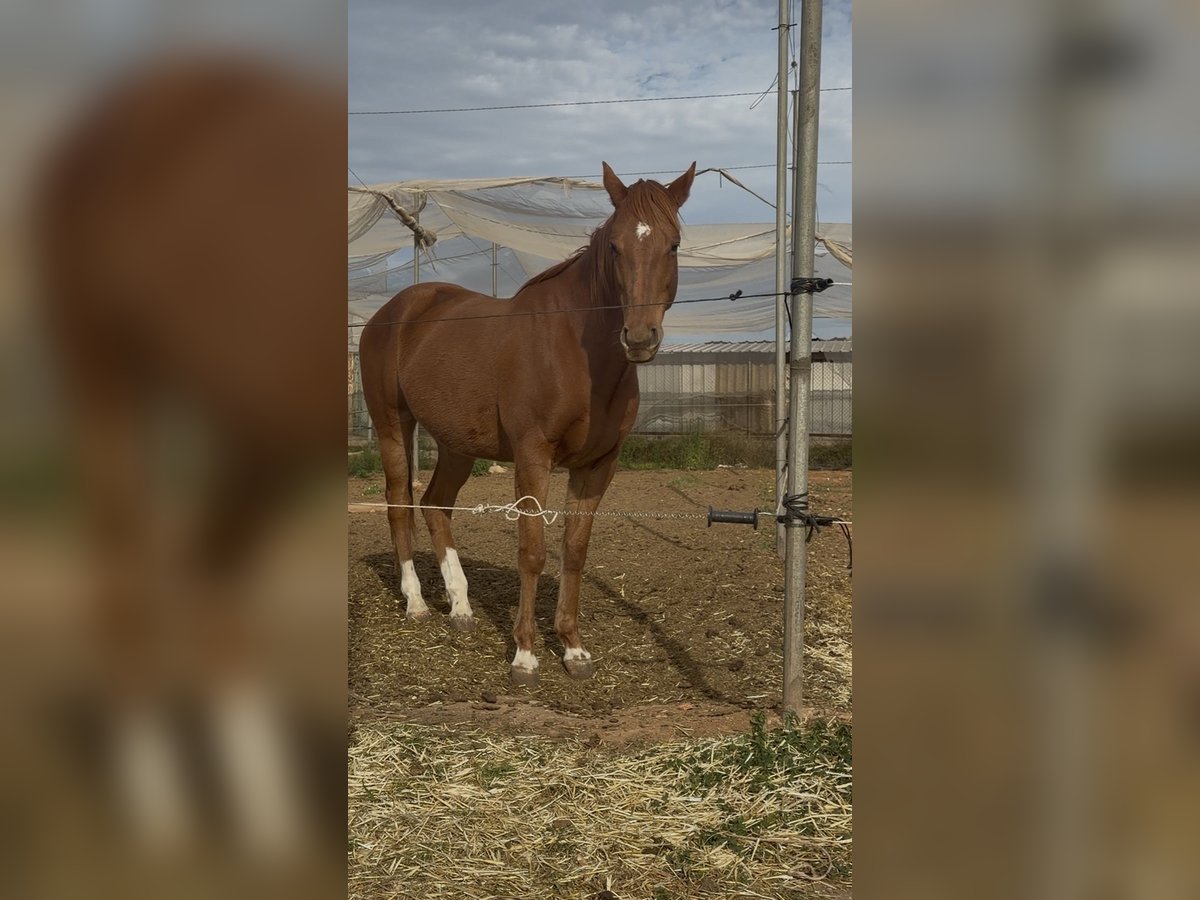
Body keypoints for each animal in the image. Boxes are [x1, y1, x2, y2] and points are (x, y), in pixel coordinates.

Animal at [360, 161, 696, 686]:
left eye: (673, 245)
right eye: (615, 247)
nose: (640, 337)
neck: (578, 354)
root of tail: (394, 311)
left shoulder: (599, 465)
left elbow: (574, 551)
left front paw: (574, 649)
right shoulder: (532, 457)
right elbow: (532, 552)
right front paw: (524, 655)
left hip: (457, 444)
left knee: (436, 504)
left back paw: (461, 607)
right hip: (393, 425)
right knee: (399, 503)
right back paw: (416, 603)